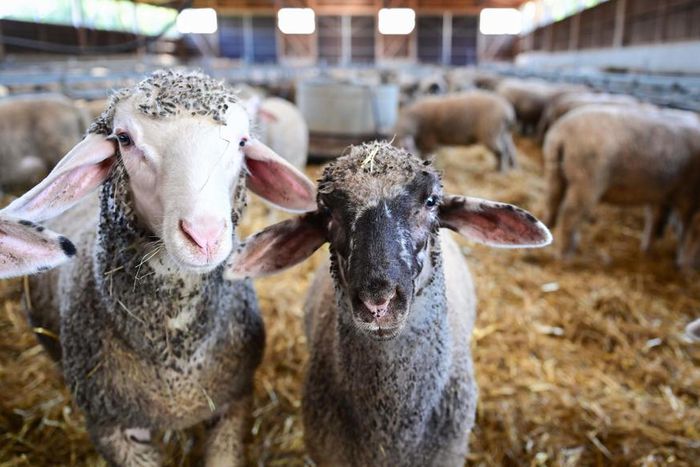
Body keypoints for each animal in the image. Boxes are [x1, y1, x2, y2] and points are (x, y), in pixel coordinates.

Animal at [0, 70, 316, 466]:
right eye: (124, 139)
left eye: (242, 142)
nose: (204, 236)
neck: (175, 353)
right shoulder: (110, 427)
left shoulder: (232, 404)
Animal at [543, 105, 700, 265]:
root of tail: (562, 134)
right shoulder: (687, 196)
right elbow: (687, 231)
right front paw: (684, 262)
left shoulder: (663, 193)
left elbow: (655, 218)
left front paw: (647, 249)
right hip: (586, 179)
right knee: (569, 214)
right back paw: (565, 255)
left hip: (555, 171)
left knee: (552, 201)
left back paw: (549, 229)